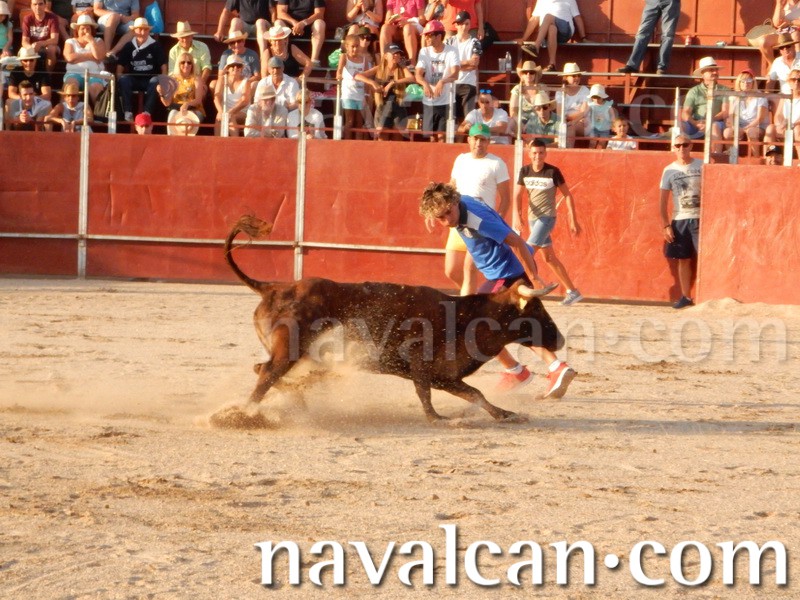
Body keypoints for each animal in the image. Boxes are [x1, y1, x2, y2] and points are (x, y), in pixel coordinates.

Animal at [224, 215, 565, 422]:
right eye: (536, 310)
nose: (560, 339)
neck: (467, 317)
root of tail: (274, 287)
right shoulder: (421, 366)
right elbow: (426, 394)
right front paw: (437, 419)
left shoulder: (446, 376)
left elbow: (476, 395)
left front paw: (507, 414)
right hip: (289, 350)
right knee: (267, 374)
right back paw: (242, 415)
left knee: (263, 369)